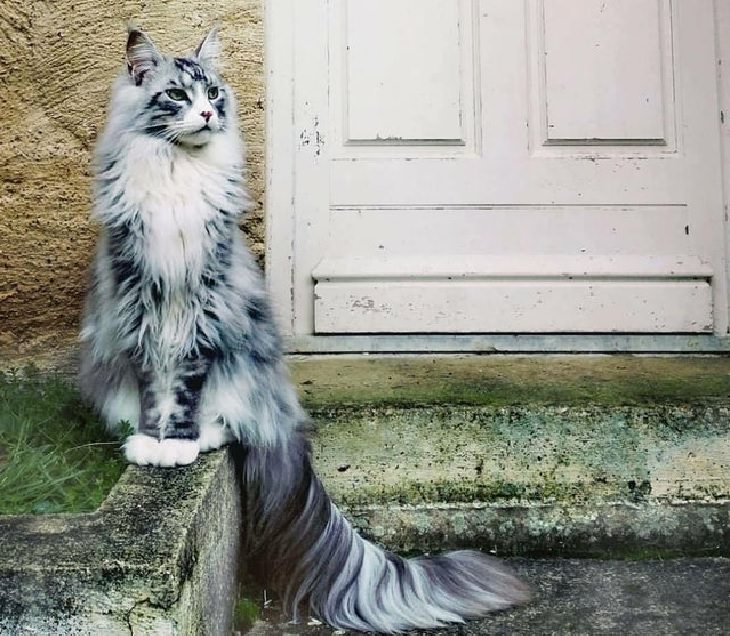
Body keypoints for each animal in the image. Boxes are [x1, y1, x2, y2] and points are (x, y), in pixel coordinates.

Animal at [77, 27, 528, 632]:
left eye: (214, 93)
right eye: (176, 95)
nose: (206, 113)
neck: (177, 171)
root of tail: (282, 414)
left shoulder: (205, 309)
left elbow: (186, 390)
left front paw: (181, 444)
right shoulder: (140, 303)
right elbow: (155, 389)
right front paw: (153, 444)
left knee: (231, 417)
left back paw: (208, 435)